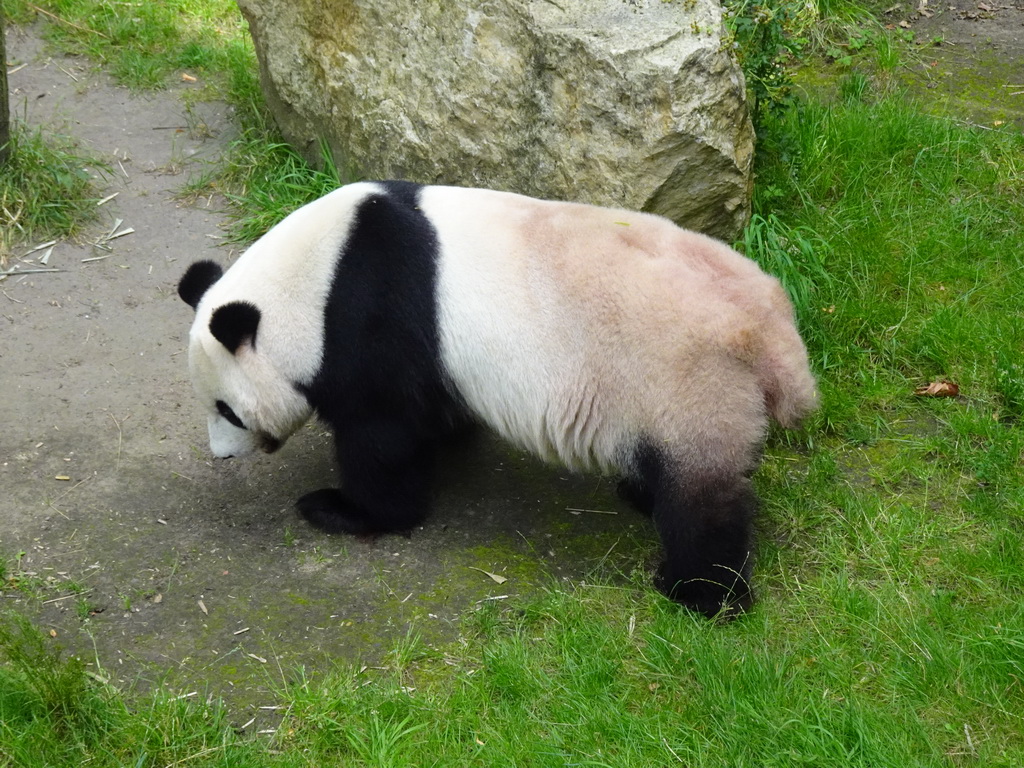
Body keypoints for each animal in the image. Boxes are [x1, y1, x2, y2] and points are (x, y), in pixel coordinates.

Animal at [178, 180, 815, 618]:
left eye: (226, 410)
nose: (222, 456)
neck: (314, 279)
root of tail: (771, 329)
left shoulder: (369, 320)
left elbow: (380, 439)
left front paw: (342, 508)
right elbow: (428, 413)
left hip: (685, 382)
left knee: (701, 502)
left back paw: (700, 595)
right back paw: (642, 497)